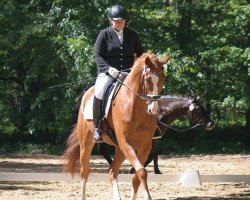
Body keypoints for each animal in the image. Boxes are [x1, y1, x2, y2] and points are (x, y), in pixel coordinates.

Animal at [63, 52, 170, 200]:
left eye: (163, 78)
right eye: (147, 79)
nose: (153, 109)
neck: (135, 106)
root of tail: (87, 93)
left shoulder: (144, 145)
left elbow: (137, 177)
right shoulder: (125, 142)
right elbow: (142, 172)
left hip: (119, 149)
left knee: (112, 171)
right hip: (86, 143)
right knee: (85, 172)